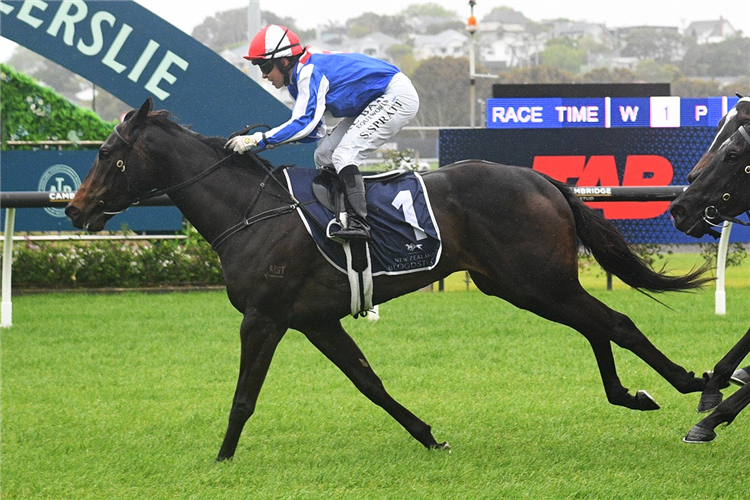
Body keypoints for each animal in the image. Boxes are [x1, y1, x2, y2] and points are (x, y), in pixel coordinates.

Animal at [64, 98, 712, 460]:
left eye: (105, 151)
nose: (74, 209)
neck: (251, 211)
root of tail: (545, 179)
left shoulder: (264, 318)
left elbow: (244, 397)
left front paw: (220, 460)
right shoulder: (315, 321)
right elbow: (369, 383)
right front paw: (429, 437)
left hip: (535, 281)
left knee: (616, 322)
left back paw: (689, 382)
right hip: (522, 285)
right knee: (595, 325)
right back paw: (631, 394)